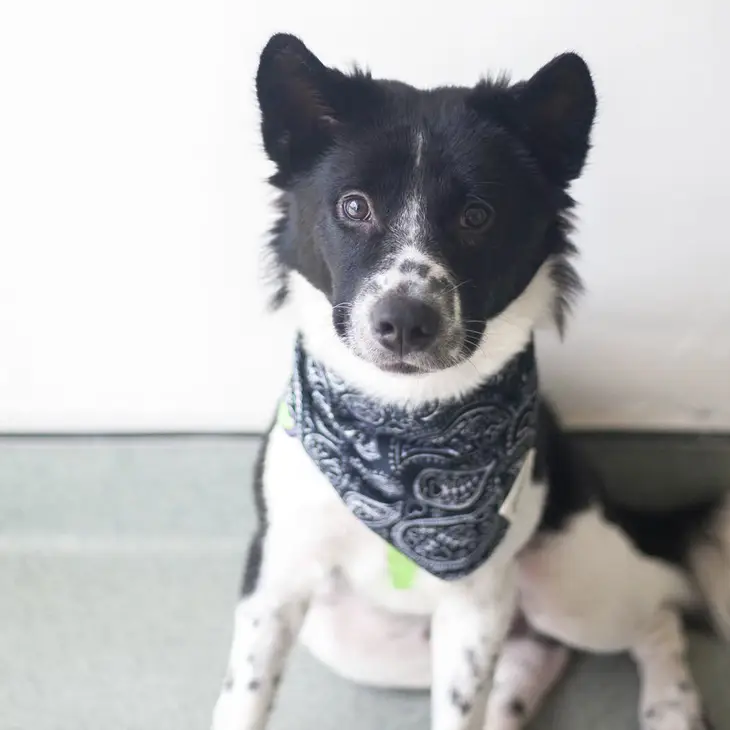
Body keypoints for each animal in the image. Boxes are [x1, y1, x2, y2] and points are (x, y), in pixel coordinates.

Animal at [210, 34, 728, 728]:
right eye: (353, 206)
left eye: (477, 216)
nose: (404, 322)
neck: (406, 416)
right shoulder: (276, 577)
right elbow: (243, 697)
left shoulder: (473, 602)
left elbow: (457, 709)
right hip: (355, 637)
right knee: (535, 655)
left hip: (572, 587)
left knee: (661, 612)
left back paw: (671, 706)